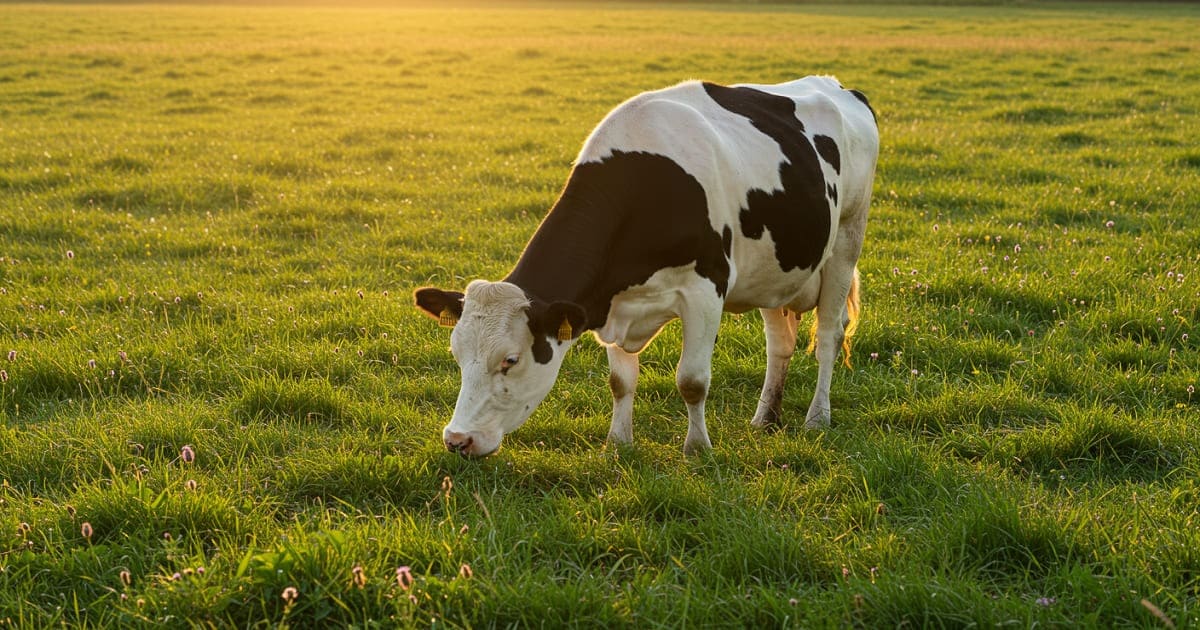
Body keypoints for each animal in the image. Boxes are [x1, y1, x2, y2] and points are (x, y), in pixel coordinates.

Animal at [417, 76, 878, 453]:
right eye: (457, 354)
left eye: (510, 360)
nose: (457, 439)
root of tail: (838, 86)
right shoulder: (610, 304)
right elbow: (621, 382)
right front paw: (618, 443)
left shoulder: (706, 289)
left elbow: (692, 380)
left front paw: (698, 448)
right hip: (774, 270)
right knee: (779, 344)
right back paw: (766, 417)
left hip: (847, 240)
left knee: (829, 336)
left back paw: (817, 418)